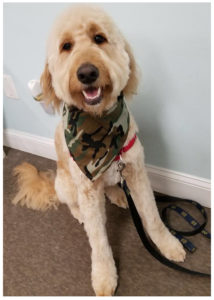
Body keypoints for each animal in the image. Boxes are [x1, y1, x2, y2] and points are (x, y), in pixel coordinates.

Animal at [13, 5, 186, 296]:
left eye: (99, 38)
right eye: (66, 46)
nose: (86, 73)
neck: (101, 121)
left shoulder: (136, 172)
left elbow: (151, 216)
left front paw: (168, 245)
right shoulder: (87, 189)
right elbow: (98, 240)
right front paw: (104, 276)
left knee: (110, 187)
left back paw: (118, 195)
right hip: (67, 184)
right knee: (72, 204)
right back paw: (81, 213)